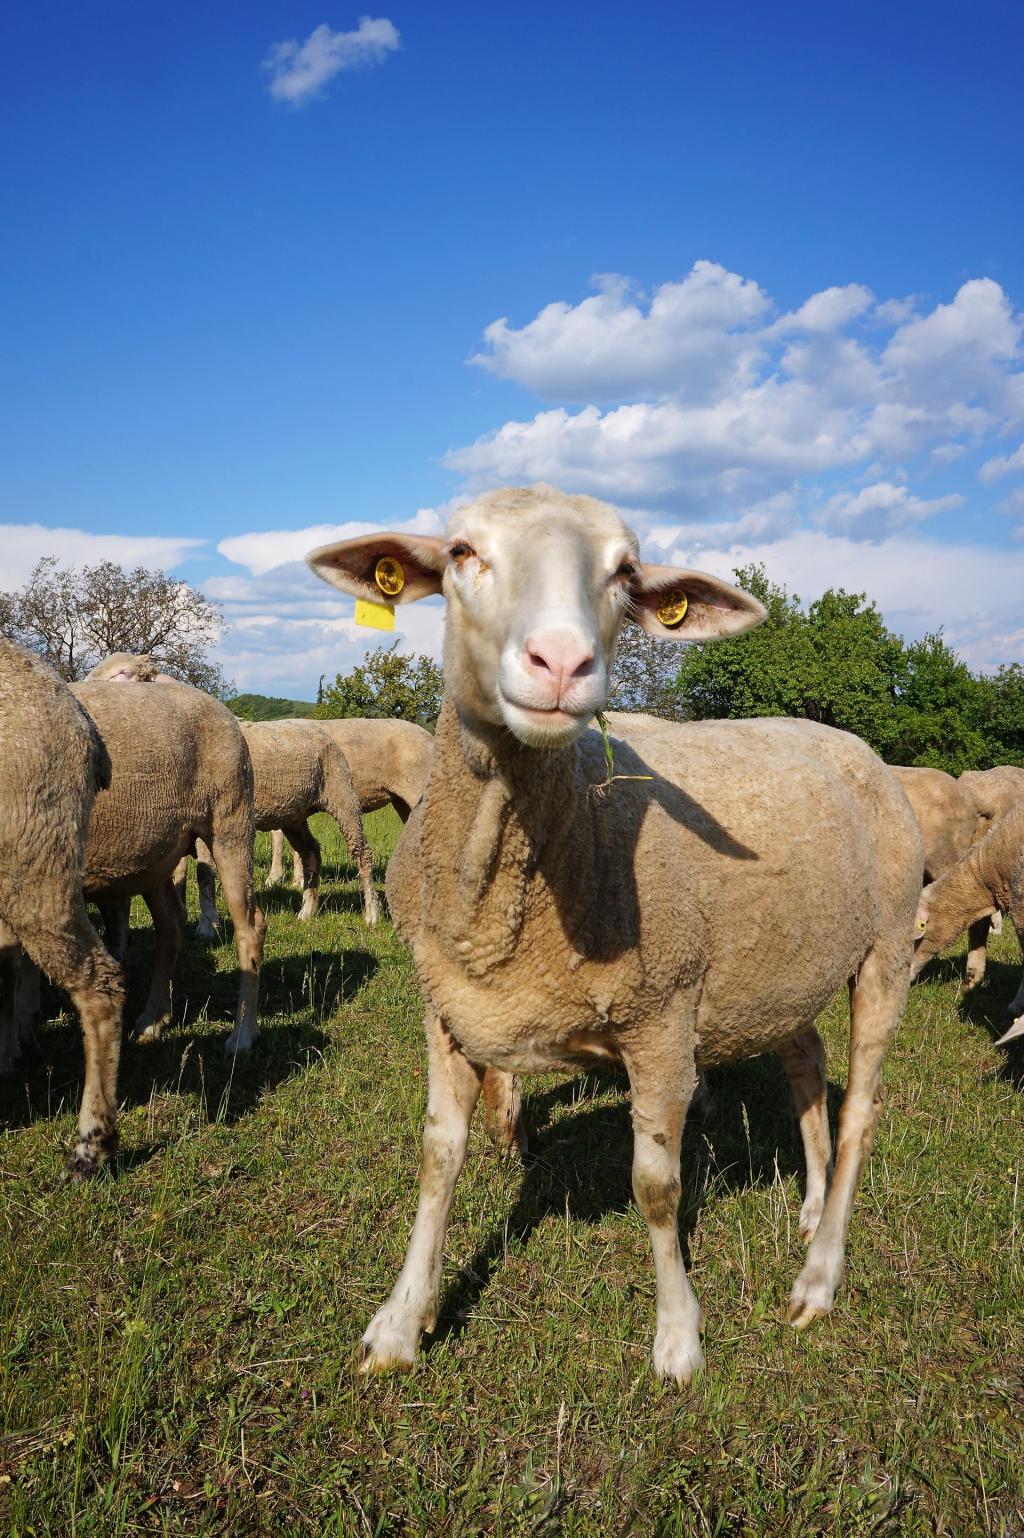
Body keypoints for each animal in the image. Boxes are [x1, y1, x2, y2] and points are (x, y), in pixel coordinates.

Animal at [70, 685, 264, 1058]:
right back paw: (153, 1018)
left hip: (231, 821)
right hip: (154, 854)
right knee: (171, 922)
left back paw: (243, 1035)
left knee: (249, 926)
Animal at [304, 476, 916, 1384]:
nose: (560, 663)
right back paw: (809, 1207)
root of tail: (840, 736)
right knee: (809, 1073)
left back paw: (819, 1275)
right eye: (461, 552)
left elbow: (657, 1187)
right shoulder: (446, 1009)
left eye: (626, 574)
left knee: (861, 1111)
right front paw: (400, 1322)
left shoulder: (661, 1016)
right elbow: (436, 1157)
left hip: (887, 947)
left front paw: (679, 1337)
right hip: (780, 967)